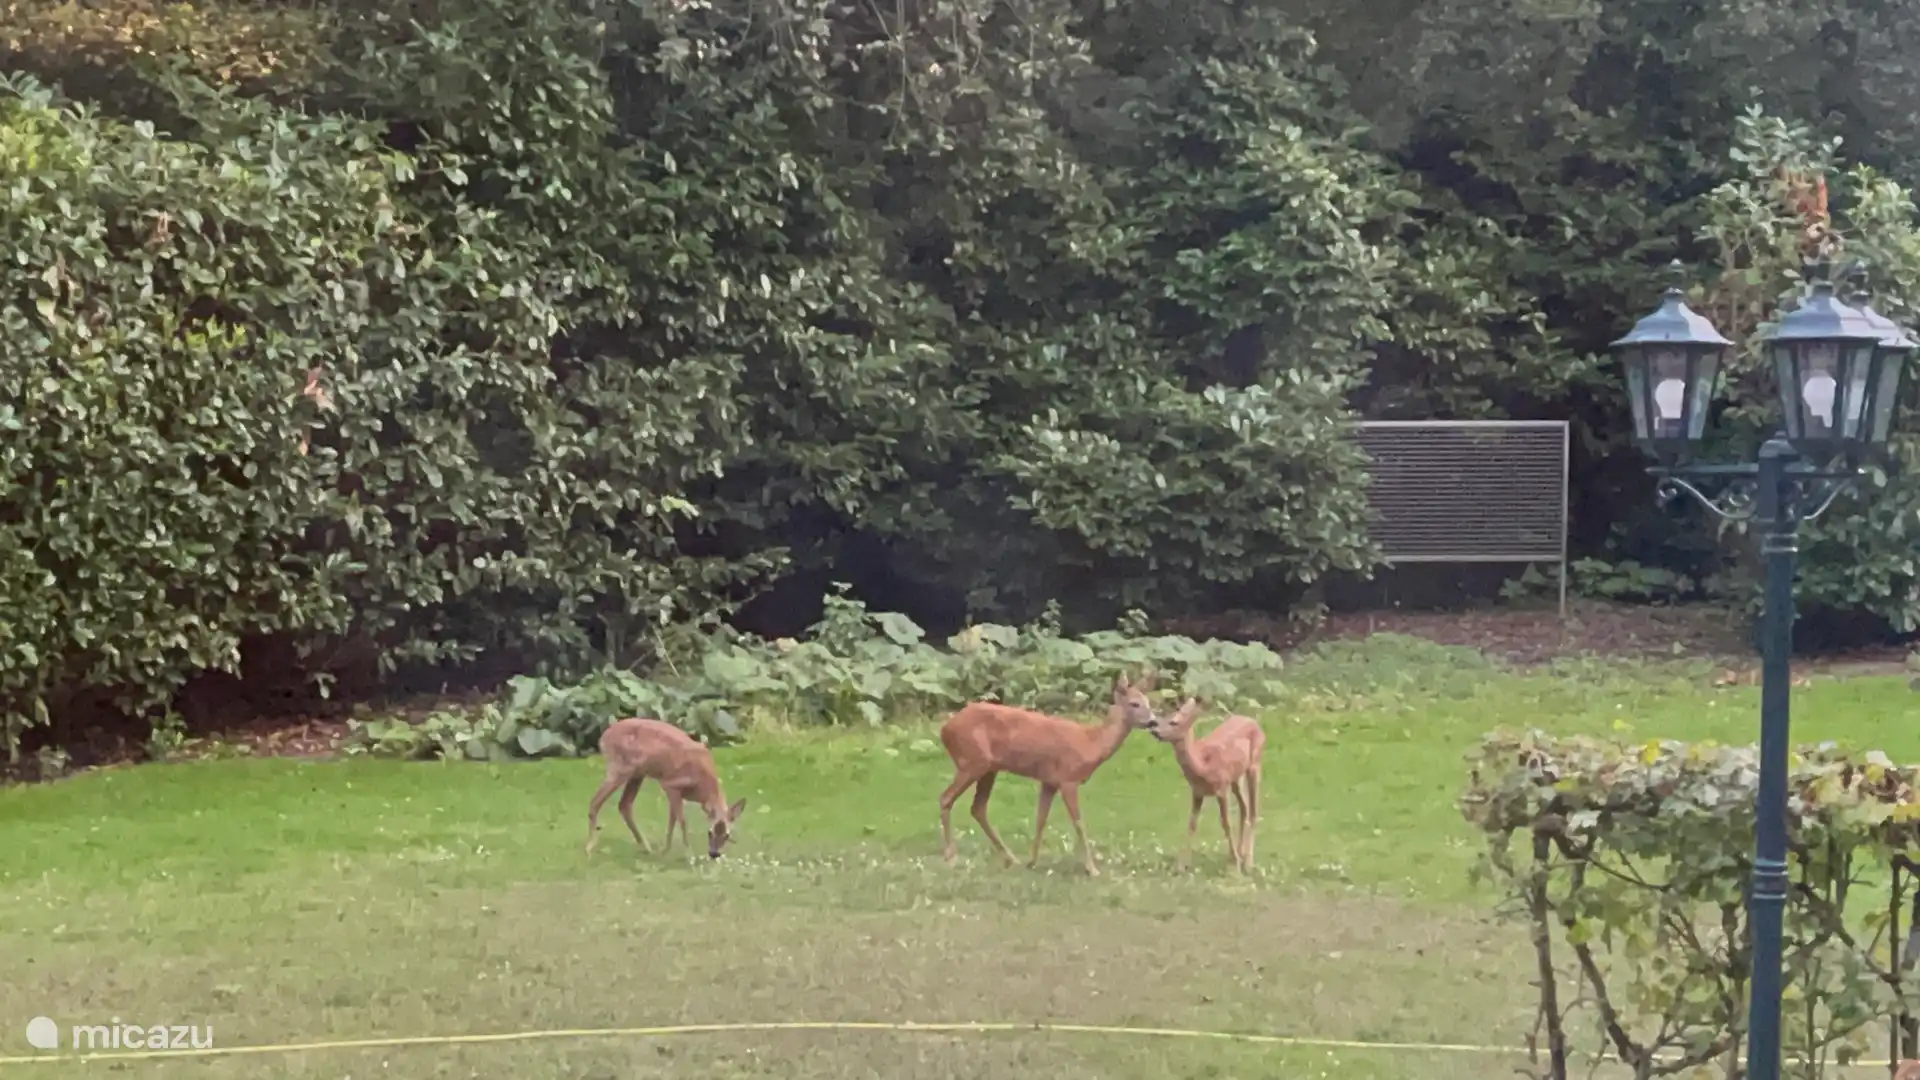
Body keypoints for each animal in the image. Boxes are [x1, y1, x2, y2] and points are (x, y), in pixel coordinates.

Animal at [585, 717, 748, 860]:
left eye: (727, 835)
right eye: (709, 832)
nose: (714, 854)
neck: (703, 785)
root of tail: (604, 737)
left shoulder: (676, 793)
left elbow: (672, 821)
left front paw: (665, 851)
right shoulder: (670, 784)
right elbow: (682, 821)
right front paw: (689, 855)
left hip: (637, 774)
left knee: (624, 805)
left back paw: (646, 848)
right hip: (620, 769)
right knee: (595, 801)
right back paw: (590, 847)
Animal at [936, 672, 1159, 876]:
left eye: (1148, 702)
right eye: (1134, 704)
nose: (1153, 722)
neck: (1091, 743)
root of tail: (945, 729)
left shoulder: (1049, 781)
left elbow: (1040, 819)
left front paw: (1032, 861)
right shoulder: (1068, 779)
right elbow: (1079, 823)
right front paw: (1092, 868)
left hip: (989, 767)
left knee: (978, 807)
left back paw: (1011, 858)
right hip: (971, 761)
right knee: (946, 798)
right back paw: (950, 856)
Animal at [1144, 696, 1265, 873]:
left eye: (1174, 722)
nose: (1153, 728)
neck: (1202, 765)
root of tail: (1255, 723)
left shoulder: (1221, 788)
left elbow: (1226, 824)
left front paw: (1236, 866)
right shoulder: (1197, 792)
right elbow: (1191, 825)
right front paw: (1181, 866)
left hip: (1254, 765)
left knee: (1254, 810)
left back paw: (1248, 862)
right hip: (1236, 778)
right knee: (1245, 807)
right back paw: (1239, 853)